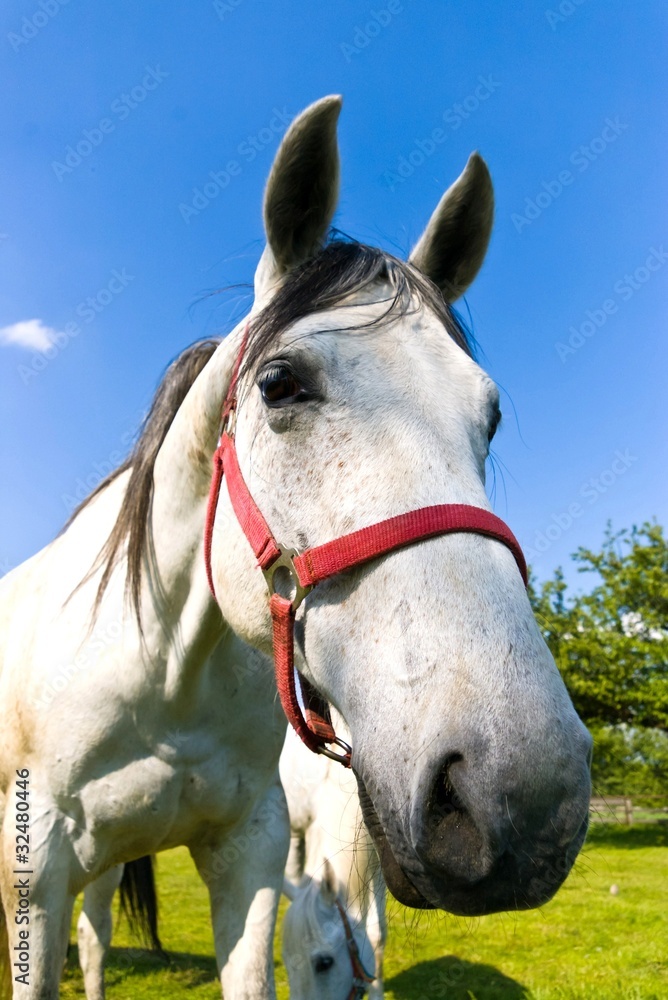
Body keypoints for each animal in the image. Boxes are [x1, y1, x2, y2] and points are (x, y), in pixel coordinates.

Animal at [0, 94, 592, 999]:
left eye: (489, 418)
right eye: (280, 384)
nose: (523, 798)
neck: (163, 670)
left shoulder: (249, 858)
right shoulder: (38, 874)